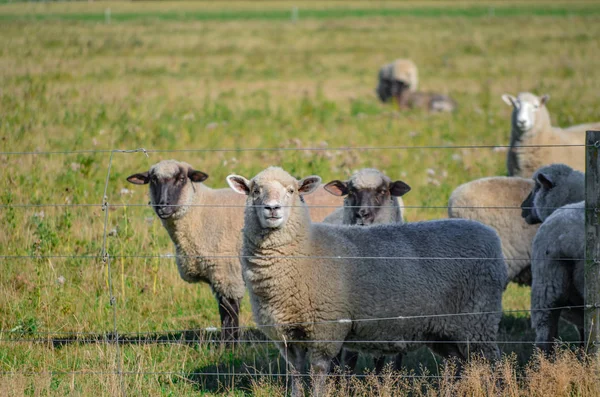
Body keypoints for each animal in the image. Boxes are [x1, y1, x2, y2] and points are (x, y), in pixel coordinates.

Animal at [225, 166, 506, 394]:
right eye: (255, 191)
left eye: (292, 190)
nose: (272, 209)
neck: (306, 250)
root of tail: (491, 237)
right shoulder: (287, 336)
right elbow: (294, 374)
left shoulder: (326, 331)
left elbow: (318, 374)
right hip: (445, 331)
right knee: (458, 364)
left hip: (478, 320)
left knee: (493, 363)